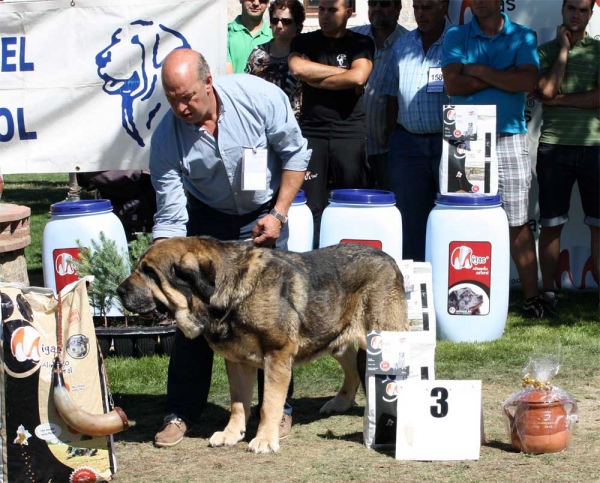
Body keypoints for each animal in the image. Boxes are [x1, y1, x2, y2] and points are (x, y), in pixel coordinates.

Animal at [118, 238, 408, 454]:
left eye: (149, 272)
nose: (119, 290)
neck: (229, 292)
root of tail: (389, 258)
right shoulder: (236, 362)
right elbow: (238, 403)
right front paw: (231, 434)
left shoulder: (276, 356)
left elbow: (269, 402)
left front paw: (265, 439)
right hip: (334, 336)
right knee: (351, 368)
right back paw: (340, 403)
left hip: (384, 336)